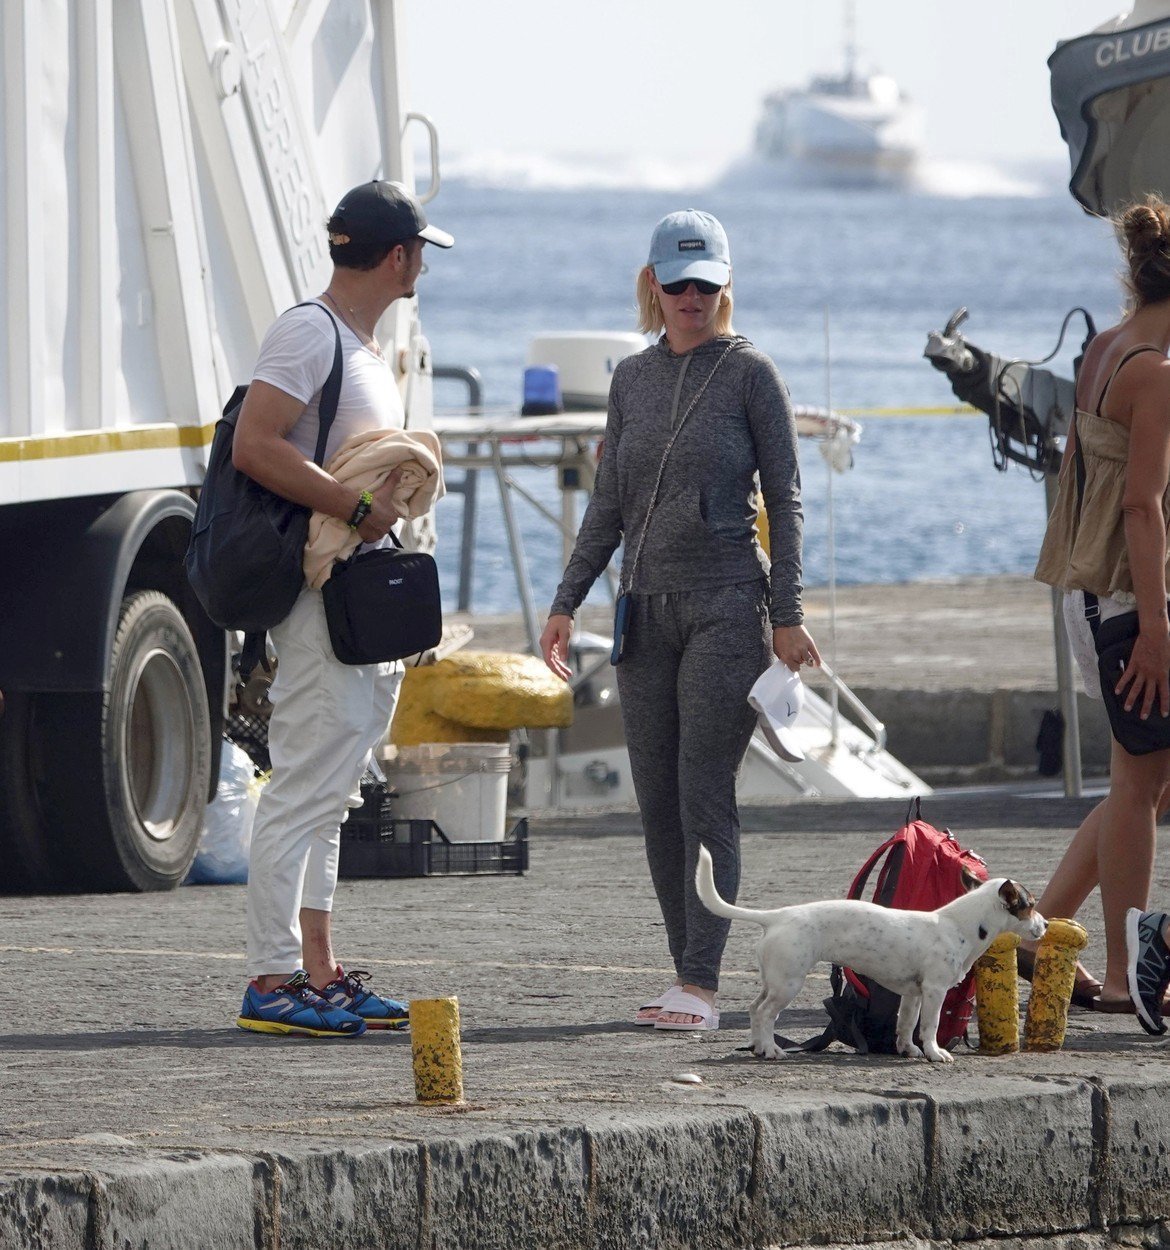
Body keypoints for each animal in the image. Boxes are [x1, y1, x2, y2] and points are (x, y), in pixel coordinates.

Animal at [695, 845, 1040, 1060]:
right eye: (1030, 905)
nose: (1045, 924)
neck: (959, 924)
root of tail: (777, 915)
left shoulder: (913, 994)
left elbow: (906, 1026)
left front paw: (909, 1051)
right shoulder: (934, 991)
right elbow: (929, 1027)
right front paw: (934, 1053)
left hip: (774, 981)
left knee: (755, 1009)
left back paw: (757, 1046)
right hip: (788, 984)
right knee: (767, 1013)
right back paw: (770, 1050)